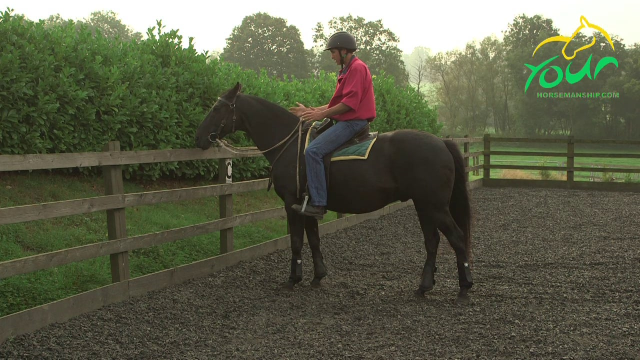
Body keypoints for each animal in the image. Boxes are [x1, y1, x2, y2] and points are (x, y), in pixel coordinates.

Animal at [195, 82, 476, 304]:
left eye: (217, 108)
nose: (199, 138)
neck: (292, 146)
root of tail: (441, 142)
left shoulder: (292, 203)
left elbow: (296, 241)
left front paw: (293, 279)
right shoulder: (308, 205)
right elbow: (314, 239)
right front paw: (318, 276)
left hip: (434, 206)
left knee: (457, 238)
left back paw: (464, 287)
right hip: (423, 205)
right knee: (433, 241)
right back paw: (424, 286)